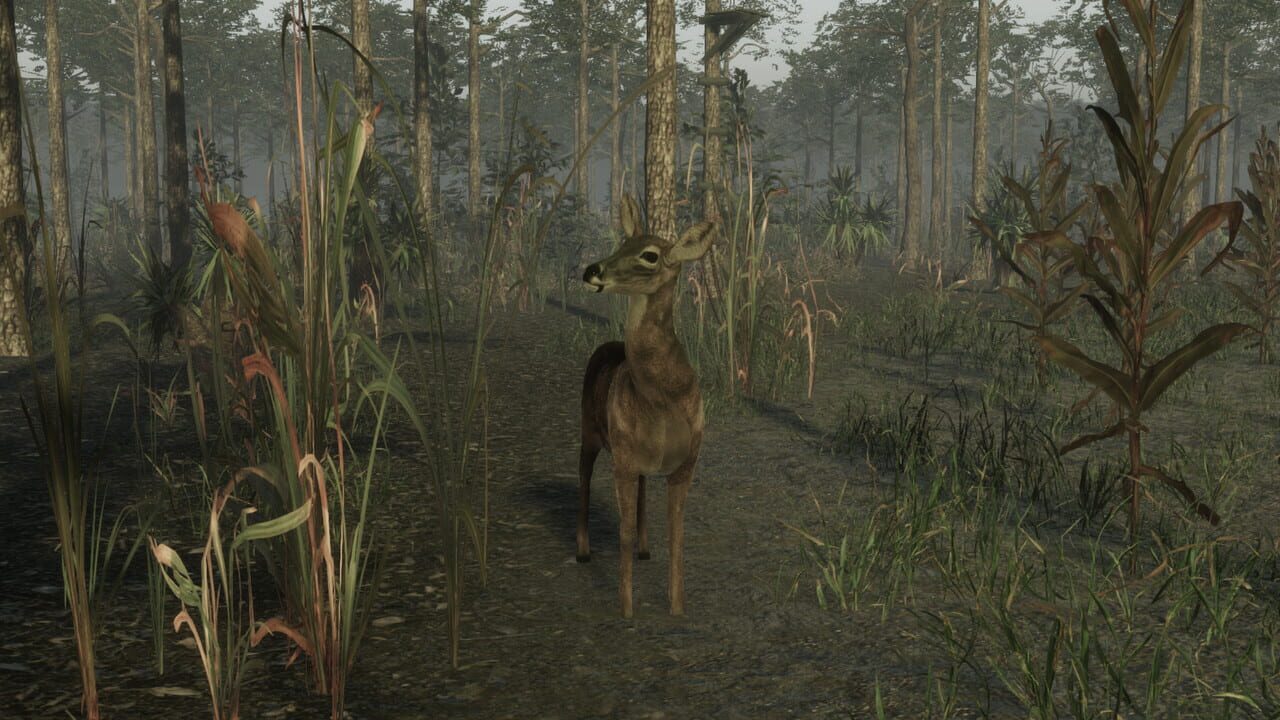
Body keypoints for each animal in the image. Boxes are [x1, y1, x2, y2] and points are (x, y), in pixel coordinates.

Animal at [577, 194, 715, 619]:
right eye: (622, 243)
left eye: (650, 255)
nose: (592, 270)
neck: (661, 403)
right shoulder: (622, 458)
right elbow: (620, 533)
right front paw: (626, 610)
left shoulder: (687, 464)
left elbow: (677, 533)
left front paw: (677, 607)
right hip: (589, 430)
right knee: (583, 475)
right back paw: (584, 551)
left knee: (639, 495)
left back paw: (644, 549)